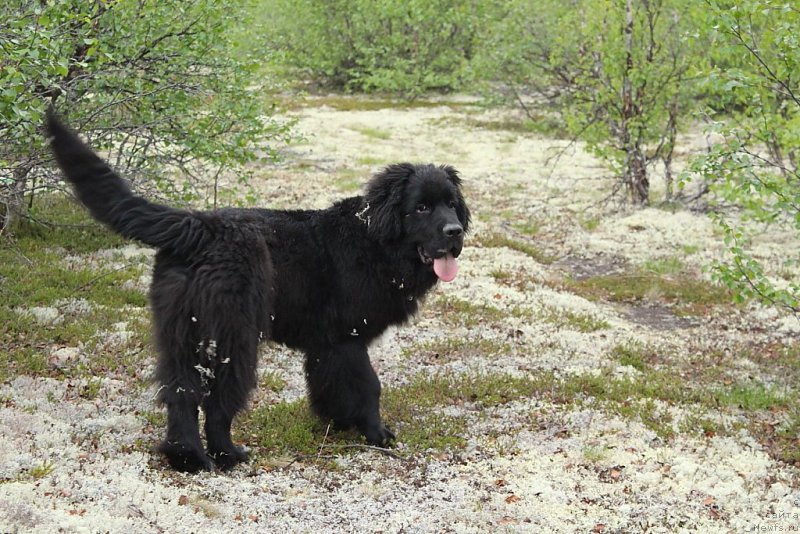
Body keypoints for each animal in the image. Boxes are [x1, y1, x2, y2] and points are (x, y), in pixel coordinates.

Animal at [45, 113, 468, 474]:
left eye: (451, 204)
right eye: (421, 207)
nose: (455, 231)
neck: (374, 240)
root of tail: (197, 226)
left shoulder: (326, 345)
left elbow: (328, 385)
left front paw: (338, 422)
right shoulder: (347, 339)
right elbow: (368, 386)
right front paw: (376, 434)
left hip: (181, 333)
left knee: (181, 394)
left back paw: (187, 458)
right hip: (235, 335)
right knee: (217, 403)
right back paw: (227, 455)